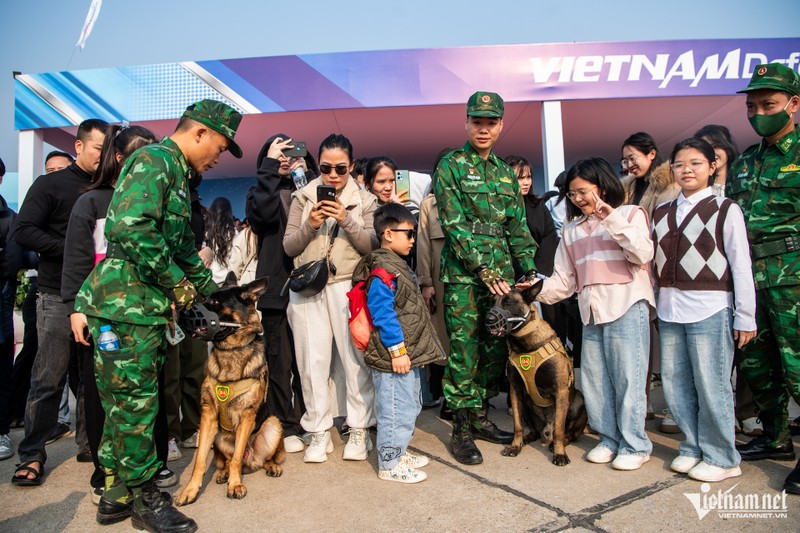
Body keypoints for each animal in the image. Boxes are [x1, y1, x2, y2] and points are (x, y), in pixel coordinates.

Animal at [177, 276, 286, 504]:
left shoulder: (247, 416)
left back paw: (271, 466)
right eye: (205, 298)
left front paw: (235, 485)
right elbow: (200, 460)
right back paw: (223, 473)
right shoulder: (208, 415)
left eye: (215, 302)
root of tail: (251, 459)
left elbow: (236, 457)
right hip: (218, 436)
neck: (231, 351)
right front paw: (190, 490)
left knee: (261, 458)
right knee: (225, 460)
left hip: (273, 424)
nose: (181, 311)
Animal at [482, 282, 588, 466]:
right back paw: (524, 440)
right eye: (492, 302)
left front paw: (560, 453)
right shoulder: (515, 389)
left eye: (509, 302)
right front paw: (515, 446)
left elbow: (559, 430)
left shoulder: (560, 391)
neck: (525, 345)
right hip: (526, 402)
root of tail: (546, 430)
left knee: (570, 434)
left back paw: (556, 445)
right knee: (533, 432)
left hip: (578, 401)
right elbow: (517, 425)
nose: (488, 319)